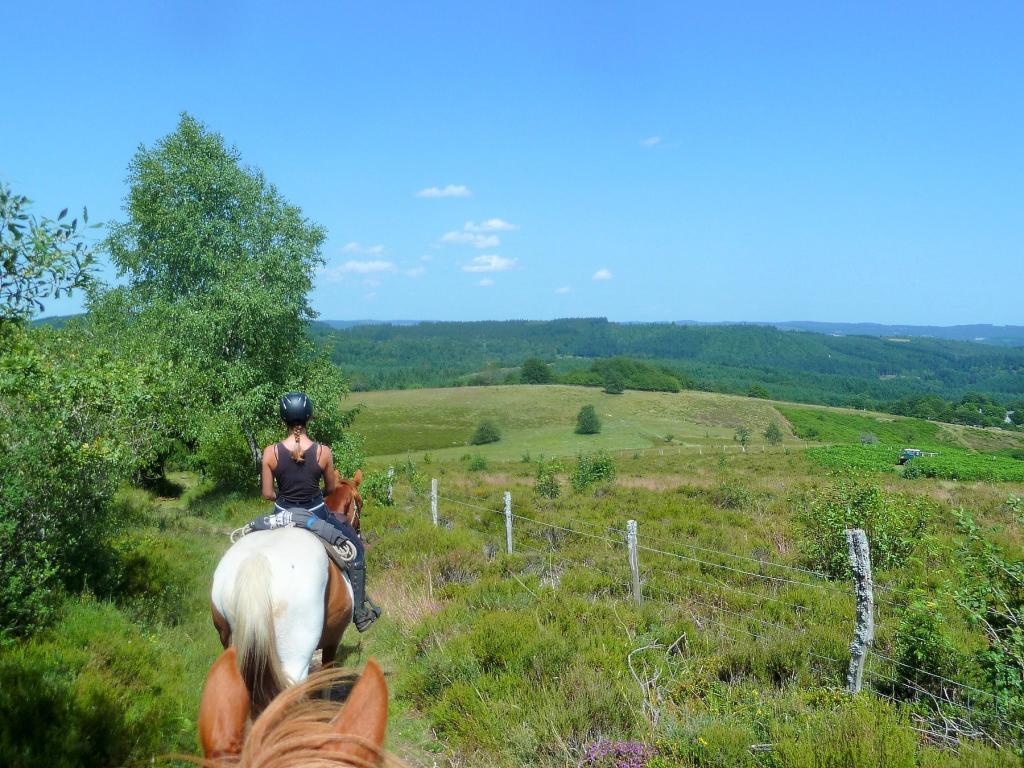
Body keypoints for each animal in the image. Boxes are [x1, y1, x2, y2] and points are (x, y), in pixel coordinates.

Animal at [197, 473, 366, 761]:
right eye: (360, 503)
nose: (360, 530)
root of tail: (256, 561)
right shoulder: (333, 638)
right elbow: (327, 678)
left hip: (231, 643)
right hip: (294, 656)